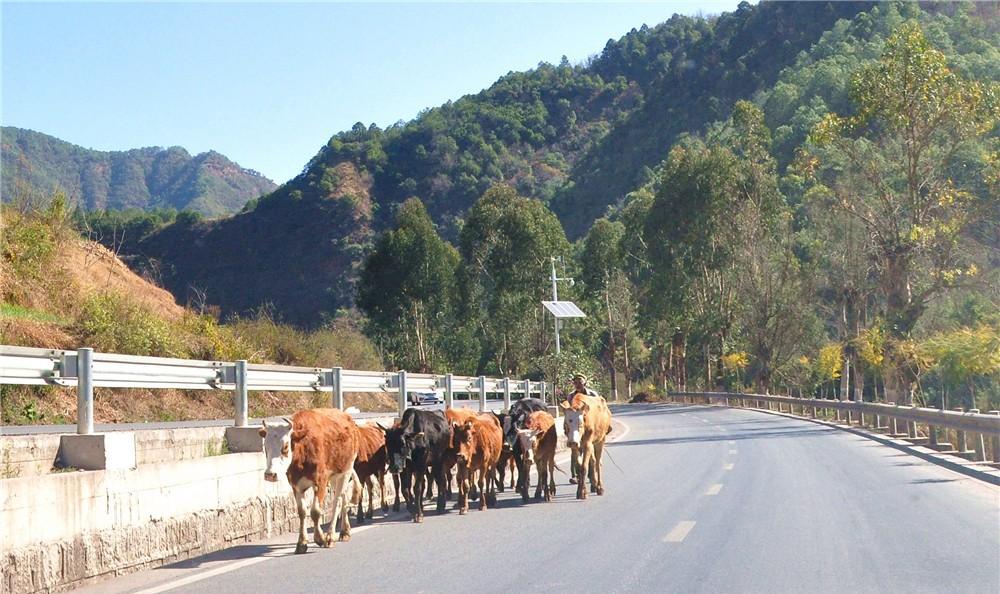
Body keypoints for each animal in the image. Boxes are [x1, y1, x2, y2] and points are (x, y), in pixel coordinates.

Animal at [262, 408, 360, 552]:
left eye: (285, 446)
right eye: (265, 447)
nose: (270, 474)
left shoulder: (320, 482)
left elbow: (315, 511)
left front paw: (320, 538)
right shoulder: (296, 485)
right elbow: (302, 512)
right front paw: (302, 542)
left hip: (346, 471)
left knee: (337, 502)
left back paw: (331, 536)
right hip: (335, 477)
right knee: (343, 497)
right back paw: (345, 531)